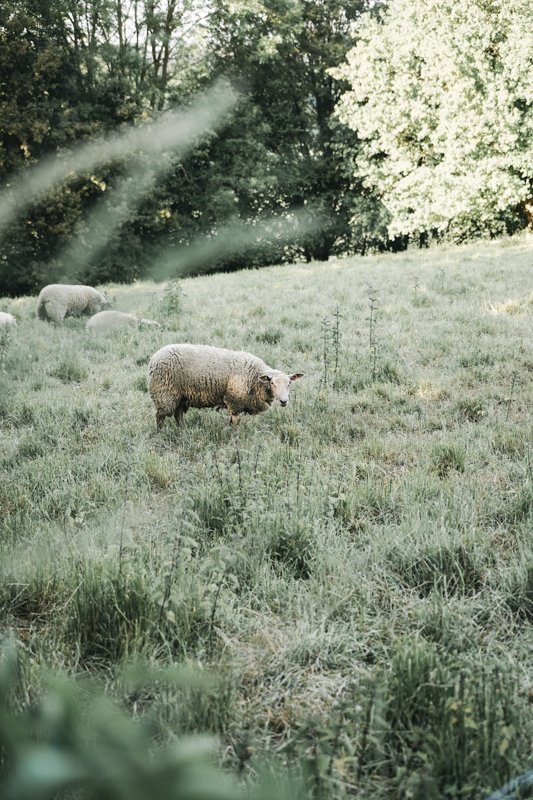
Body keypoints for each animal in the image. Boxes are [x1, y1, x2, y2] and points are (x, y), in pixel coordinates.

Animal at [147, 346, 304, 432]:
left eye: (289, 383)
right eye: (272, 383)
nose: (284, 401)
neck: (255, 378)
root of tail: (153, 358)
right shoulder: (234, 401)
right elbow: (235, 423)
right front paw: (235, 438)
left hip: (181, 396)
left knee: (178, 414)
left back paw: (183, 430)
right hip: (164, 393)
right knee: (160, 417)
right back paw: (160, 433)